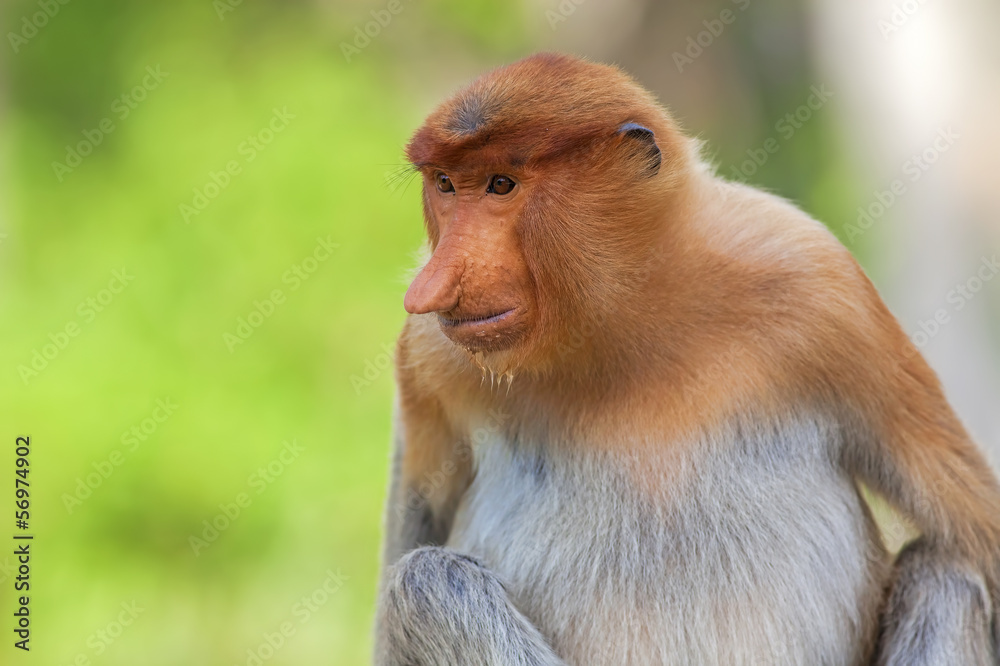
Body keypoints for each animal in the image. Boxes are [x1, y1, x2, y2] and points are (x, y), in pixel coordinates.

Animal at [373, 53, 1000, 666]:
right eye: (446, 184)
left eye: (501, 184)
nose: (430, 288)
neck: (624, 320)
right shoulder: (427, 356)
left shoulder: (822, 284)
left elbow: (982, 545)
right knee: (424, 579)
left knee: (945, 570)